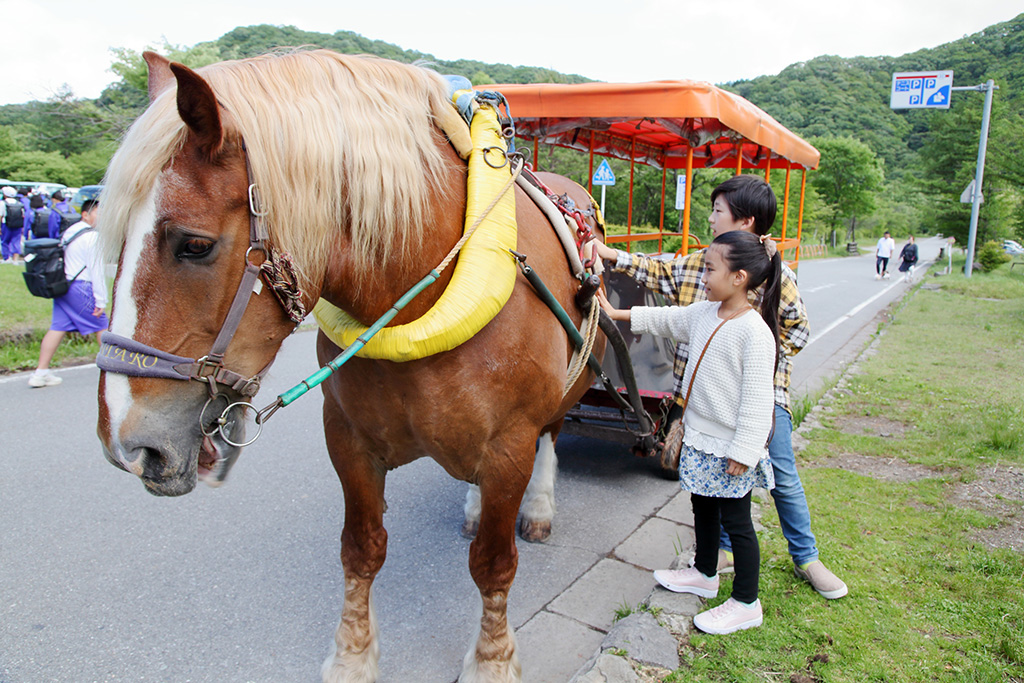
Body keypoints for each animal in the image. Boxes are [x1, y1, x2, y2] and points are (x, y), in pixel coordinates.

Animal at [96, 49, 606, 683]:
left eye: (194, 244)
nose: (126, 443)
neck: (420, 287)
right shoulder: (349, 437)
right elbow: (361, 548)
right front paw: (353, 655)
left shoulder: (509, 443)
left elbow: (493, 563)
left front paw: (492, 660)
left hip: (565, 389)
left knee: (552, 435)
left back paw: (536, 505)